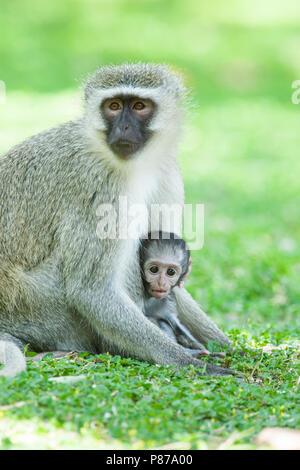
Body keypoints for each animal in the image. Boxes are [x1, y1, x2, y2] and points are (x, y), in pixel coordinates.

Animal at [140, 232, 225, 360]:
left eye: (170, 272)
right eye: (153, 269)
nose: (161, 283)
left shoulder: (169, 300)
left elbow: (174, 323)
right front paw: (194, 353)